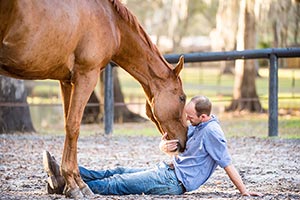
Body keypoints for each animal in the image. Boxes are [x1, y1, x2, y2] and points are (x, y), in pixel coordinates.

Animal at [0, 0, 188, 197]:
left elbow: (69, 126)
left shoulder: (66, 81)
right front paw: (77, 186)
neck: (111, 20)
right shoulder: (86, 75)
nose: (184, 140)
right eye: (182, 98)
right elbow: (74, 127)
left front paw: (70, 183)